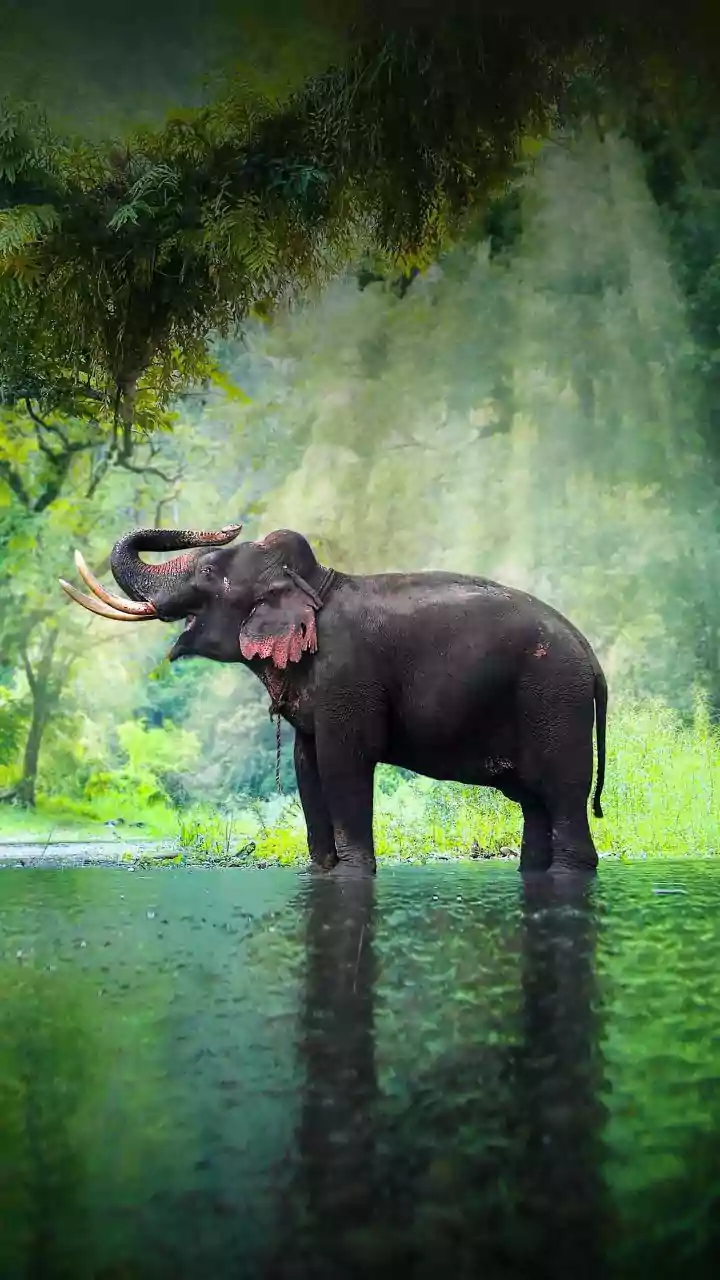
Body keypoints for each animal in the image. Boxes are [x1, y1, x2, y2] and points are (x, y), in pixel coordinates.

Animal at [60, 523, 608, 879]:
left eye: (210, 571)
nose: (228, 525)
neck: (315, 582)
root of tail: (592, 660)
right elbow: (308, 766)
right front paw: (320, 870)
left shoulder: (348, 677)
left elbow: (345, 761)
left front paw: (352, 874)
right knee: (535, 805)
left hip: (555, 701)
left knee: (563, 798)